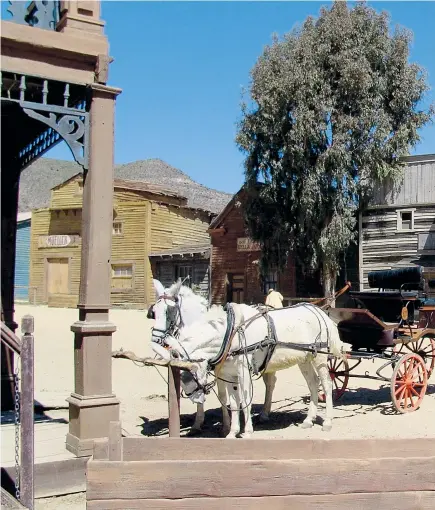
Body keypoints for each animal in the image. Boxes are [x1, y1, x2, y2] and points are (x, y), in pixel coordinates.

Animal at [150, 278, 280, 434]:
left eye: (169, 311)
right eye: (154, 312)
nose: (155, 339)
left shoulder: (220, 369)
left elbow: (222, 395)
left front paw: (226, 426)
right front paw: (198, 423)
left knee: (270, 383)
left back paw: (264, 414)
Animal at [166, 302, 348, 438]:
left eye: (187, 373)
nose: (195, 398)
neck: (231, 333)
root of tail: (319, 312)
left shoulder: (244, 372)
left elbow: (245, 401)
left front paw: (247, 431)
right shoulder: (229, 375)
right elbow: (234, 403)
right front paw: (232, 432)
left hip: (320, 358)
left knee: (326, 384)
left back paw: (327, 421)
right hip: (304, 359)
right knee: (313, 384)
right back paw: (309, 420)